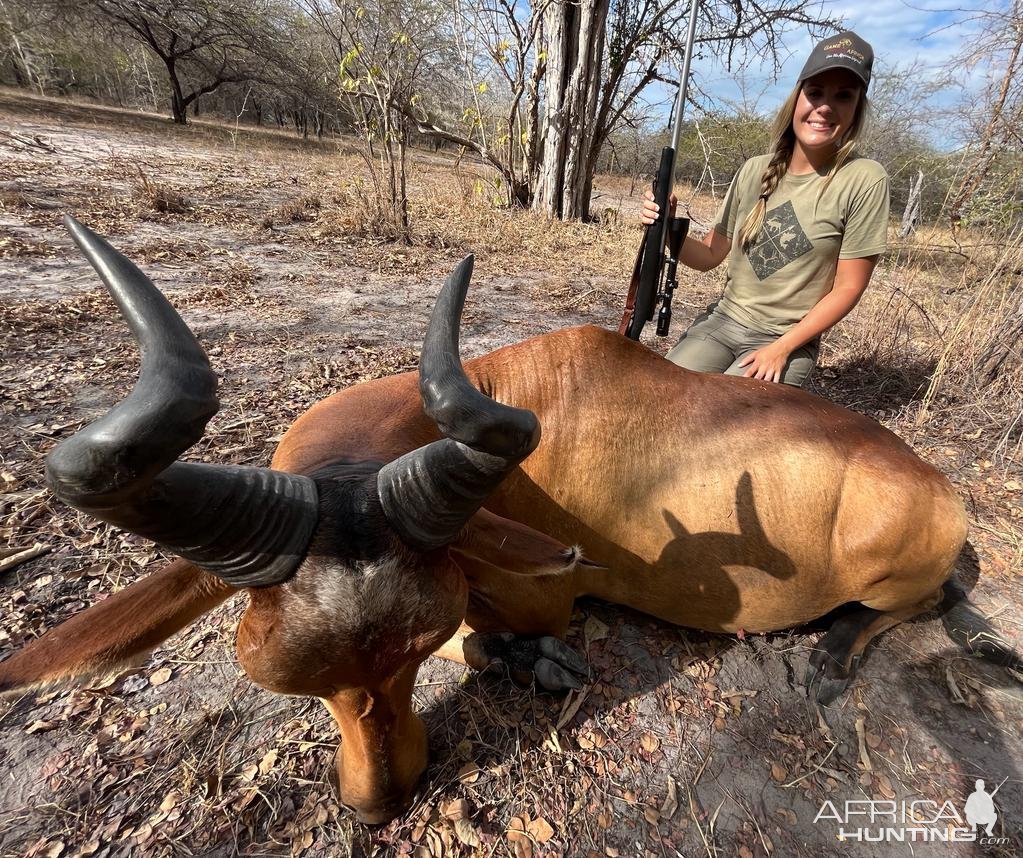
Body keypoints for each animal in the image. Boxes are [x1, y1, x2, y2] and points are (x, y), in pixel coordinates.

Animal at [0, 219, 969, 826]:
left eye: (413, 649)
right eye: (290, 682)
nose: (379, 804)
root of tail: (940, 491)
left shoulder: (545, 592)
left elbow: (497, 633)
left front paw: (537, 663)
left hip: (891, 575)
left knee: (909, 609)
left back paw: (828, 656)